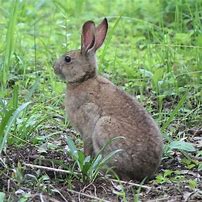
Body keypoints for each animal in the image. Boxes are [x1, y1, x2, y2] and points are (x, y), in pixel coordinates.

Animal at [53, 18, 163, 181]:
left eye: (67, 59)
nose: (54, 67)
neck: (84, 79)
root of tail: (145, 172)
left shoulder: (88, 119)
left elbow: (87, 147)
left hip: (104, 128)